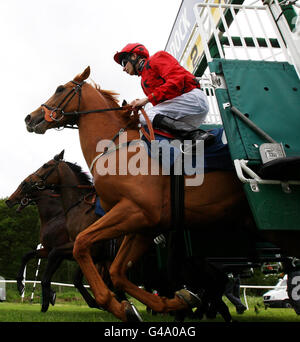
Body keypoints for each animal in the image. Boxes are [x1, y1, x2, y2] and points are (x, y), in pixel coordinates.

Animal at [24, 66, 300, 320]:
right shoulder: (143, 226)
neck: (117, 148)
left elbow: (82, 245)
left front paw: (113, 304)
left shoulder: (135, 211)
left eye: (60, 89)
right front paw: (170, 303)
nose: (30, 118)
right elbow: (117, 272)